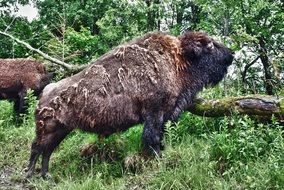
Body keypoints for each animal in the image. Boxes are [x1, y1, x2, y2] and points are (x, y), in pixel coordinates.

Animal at [25, 31, 234, 177]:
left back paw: (46, 175)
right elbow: (152, 138)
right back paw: (30, 174)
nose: (231, 54)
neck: (178, 59)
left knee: (47, 150)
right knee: (37, 147)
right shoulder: (154, 112)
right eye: (210, 45)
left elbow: (159, 136)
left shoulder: (163, 114)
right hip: (48, 129)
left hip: (61, 130)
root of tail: (45, 93)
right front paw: (158, 160)